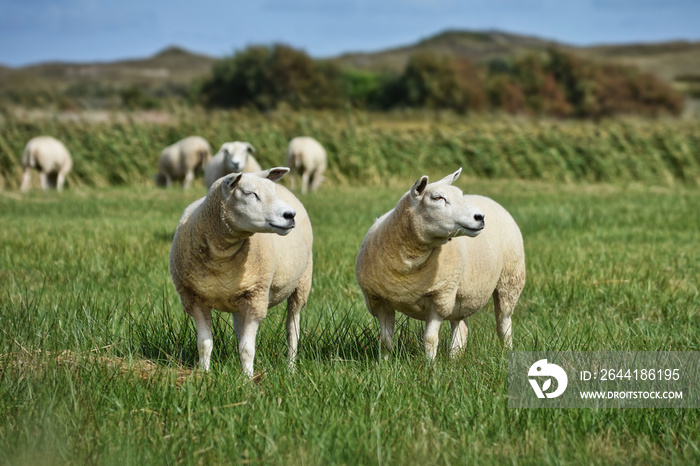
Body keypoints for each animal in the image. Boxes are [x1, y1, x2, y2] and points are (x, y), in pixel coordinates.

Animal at [170, 167, 312, 378]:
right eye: (250, 193)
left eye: (273, 192)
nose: (289, 215)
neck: (221, 258)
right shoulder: (193, 299)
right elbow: (204, 344)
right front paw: (204, 374)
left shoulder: (256, 298)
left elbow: (247, 348)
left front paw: (248, 378)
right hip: (237, 299)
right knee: (240, 328)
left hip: (302, 282)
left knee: (292, 329)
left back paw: (291, 367)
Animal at [356, 167, 524, 360]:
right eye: (437, 198)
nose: (480, 217)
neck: (409, 266)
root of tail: (485, 198)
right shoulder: (378, 301)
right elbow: (386, 340)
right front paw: (384, 364)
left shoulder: (439, 298)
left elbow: (430, 339)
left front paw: (430, 365)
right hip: (462, 293)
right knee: (461, 327)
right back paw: (454, 359)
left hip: (510, 280)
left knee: (504, 323)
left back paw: (506, 353)